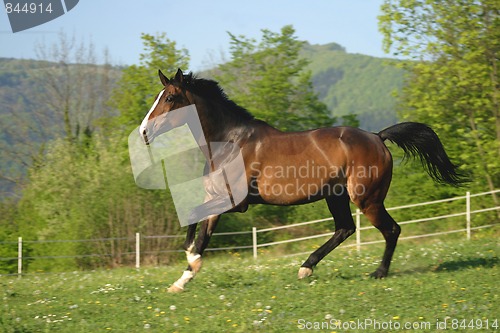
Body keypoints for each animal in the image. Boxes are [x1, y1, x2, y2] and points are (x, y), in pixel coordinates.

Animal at [139, 68, 462, 290]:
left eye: (170, 98)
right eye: (157, 97)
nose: (143, 131)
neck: (229, 142)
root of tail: (377, 137)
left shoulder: (235, 202)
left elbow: (193, 219)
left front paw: (190, 259)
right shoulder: (218, 201)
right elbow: (201, 234)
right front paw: (182, 279)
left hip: (366, 199)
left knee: (391, 230)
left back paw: (378, 273)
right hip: (336, 196)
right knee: (345, 229)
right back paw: (306, 268)